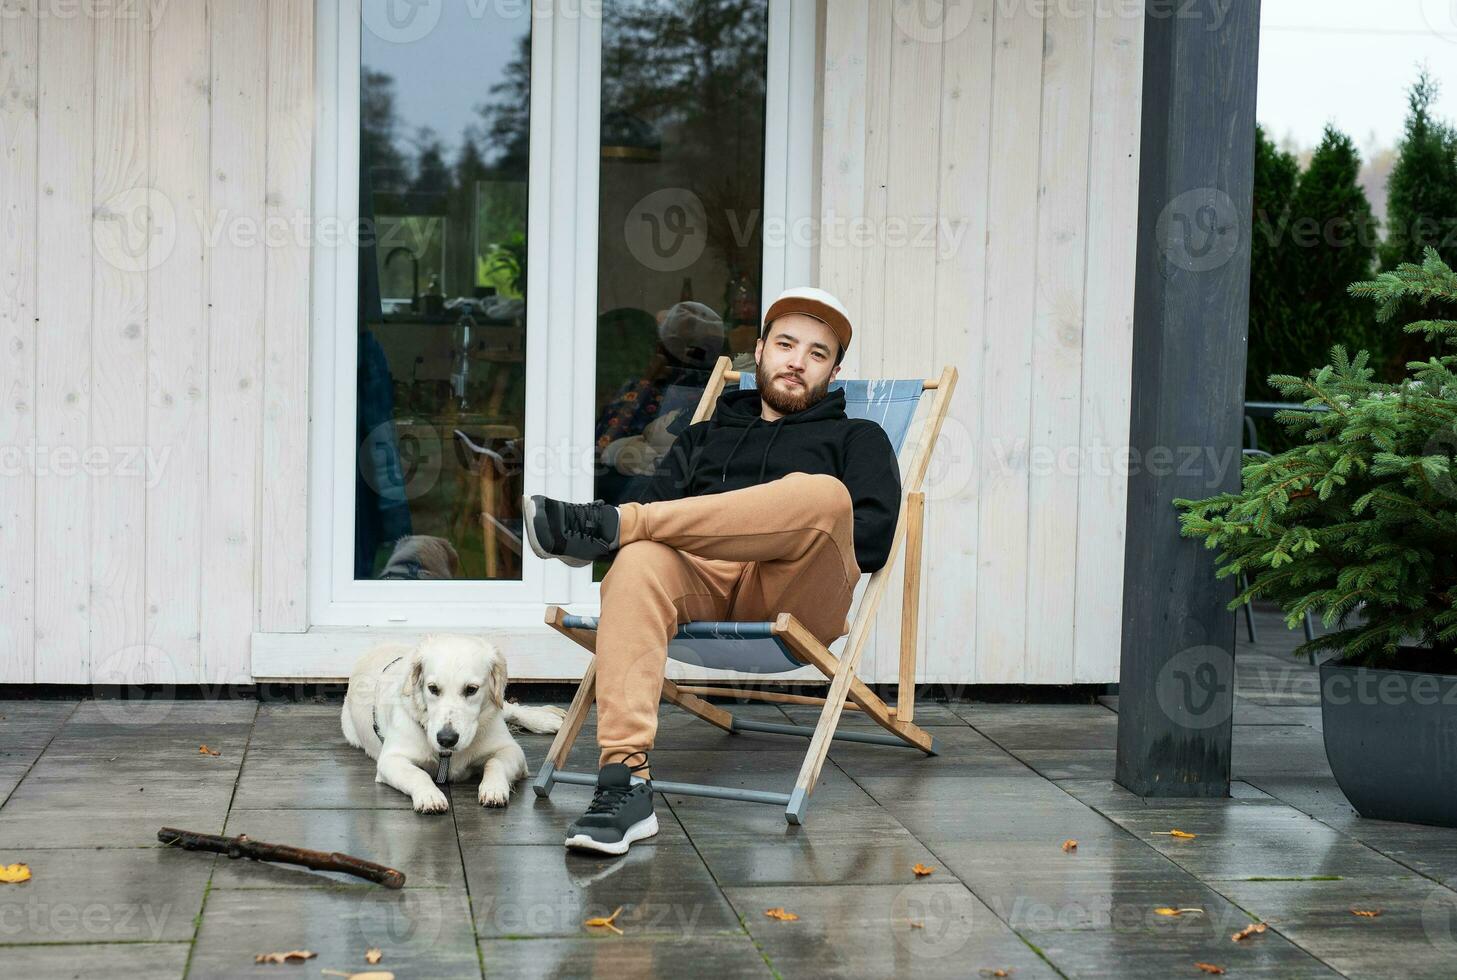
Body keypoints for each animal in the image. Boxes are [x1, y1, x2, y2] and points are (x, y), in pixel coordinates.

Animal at [343, 634, 565, 809]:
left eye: (471, 689)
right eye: (433, 688)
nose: (446, 739)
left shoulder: (511, 749)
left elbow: (494, 762)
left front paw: (493, 788)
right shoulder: (390, 759)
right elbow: (417, 774)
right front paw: (429, 796)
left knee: (511, 709)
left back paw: (549, 720)